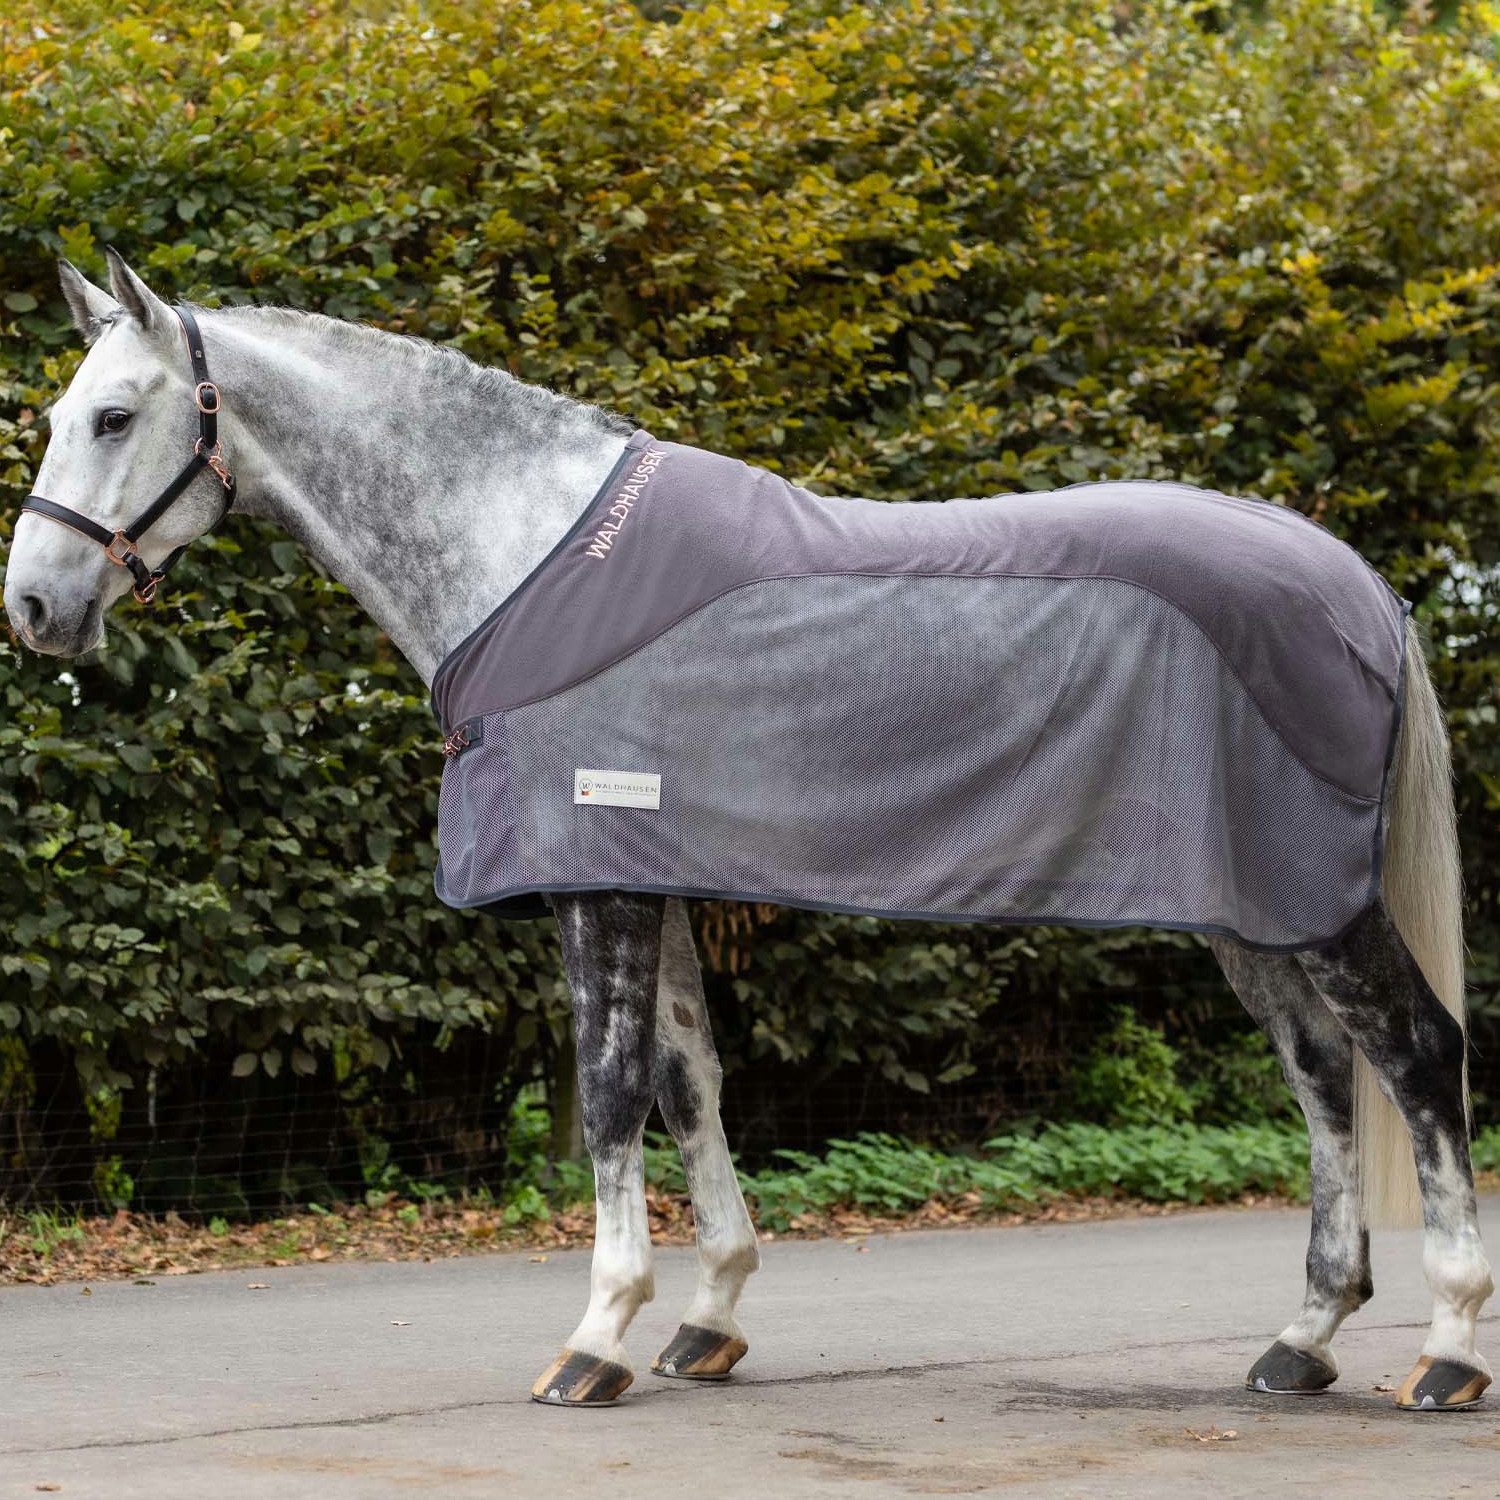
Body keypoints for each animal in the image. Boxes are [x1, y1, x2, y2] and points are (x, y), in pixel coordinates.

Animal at [4, 252, 1491, 1413]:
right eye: (63, 412)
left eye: (117, 414)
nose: (32, 607)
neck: (523, 556)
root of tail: (1358, 583)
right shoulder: (649, 871)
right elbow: (689, 1083)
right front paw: (707, 1316)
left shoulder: (595, 881)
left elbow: (611, 1095)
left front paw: (595, 1337)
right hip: (1255, 907)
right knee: (1322, 1072)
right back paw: (1302, 1340)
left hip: (1316, 898)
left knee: (1416, 1056)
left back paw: (1449, 1350)